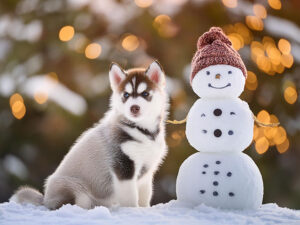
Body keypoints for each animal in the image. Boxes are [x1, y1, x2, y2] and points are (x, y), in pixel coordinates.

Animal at [9, 61, 169, 209]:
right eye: (126, 95)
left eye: (145, 94)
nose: (134, 108)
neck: (143, 131)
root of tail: (45, 200)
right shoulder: (123, 167)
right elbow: (130, 198)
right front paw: (132, 212)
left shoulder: (146, 172)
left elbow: (145, 196)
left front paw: (144, 210)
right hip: (77, 191)